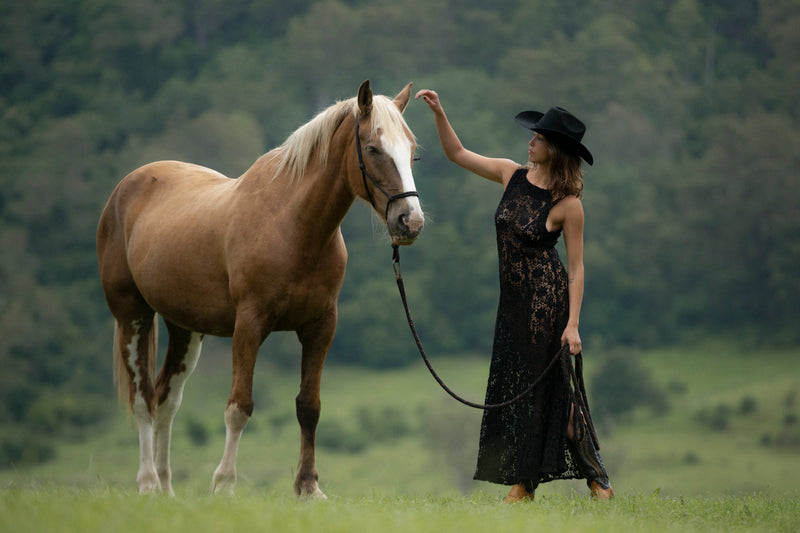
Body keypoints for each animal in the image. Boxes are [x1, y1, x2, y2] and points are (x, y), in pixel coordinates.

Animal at [97, 80, 424, 498]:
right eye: (373, 149)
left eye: (412, 151)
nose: (410, 221)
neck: (293, 226)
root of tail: (127, 187)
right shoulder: (249, 325)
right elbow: (239, 407)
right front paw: (224, 485)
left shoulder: (320, 327)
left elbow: (309, 407)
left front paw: (308, 488)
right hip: (132, 315)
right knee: (143, 400)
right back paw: (149, 484)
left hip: (185, 328)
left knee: (166, 401)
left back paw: (168, 491)